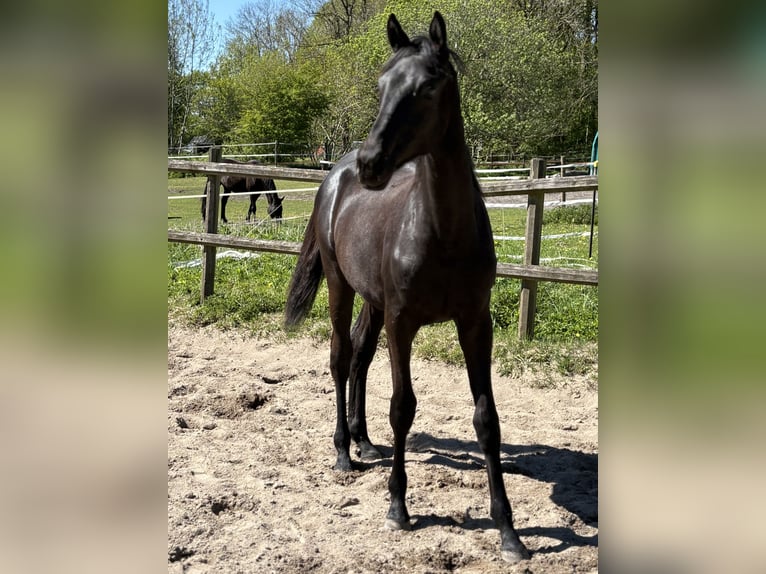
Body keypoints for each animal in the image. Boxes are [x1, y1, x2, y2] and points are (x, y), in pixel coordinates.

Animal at [284, 12, 529, 564]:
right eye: (381, 86)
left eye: (427, 86)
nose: (372, 164)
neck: (443, 233)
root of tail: (334, 176)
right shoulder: (403, 322)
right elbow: (403, 407)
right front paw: (398, 507)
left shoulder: (475, 324)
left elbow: (487, 419)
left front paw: (508, 531)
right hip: (341, 287)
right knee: (339, 357)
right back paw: (343, 452)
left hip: (371, 302)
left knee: (358, 354)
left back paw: (363, 441)